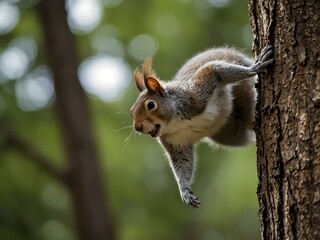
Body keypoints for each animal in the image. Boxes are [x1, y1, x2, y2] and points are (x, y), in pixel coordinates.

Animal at [130, 45, 272, 208]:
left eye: (151, 105)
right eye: (131, 112)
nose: (137, 127)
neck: (174, 123)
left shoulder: (196, 95)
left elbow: (213, 69)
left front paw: (255, 68)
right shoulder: (174, 142)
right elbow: (182, 164)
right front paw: (185, 191)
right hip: (229, 134)